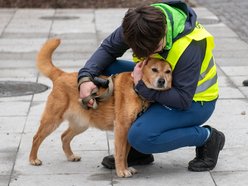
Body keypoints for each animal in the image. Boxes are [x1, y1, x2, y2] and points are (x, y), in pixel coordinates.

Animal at [29, 38, 171, 177]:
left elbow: (125, 153)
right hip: (52, 120)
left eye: (168, 72)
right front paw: (121, 171)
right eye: (154, 70)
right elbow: (120, 153)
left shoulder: (128, 131)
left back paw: (70, 156)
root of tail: (61, 75)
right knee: (36, 137)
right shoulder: (121, 128)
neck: (136, 88)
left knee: (64, 136)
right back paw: (33, 159)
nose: (162, 81)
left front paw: (126, 168)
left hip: (80, 124)